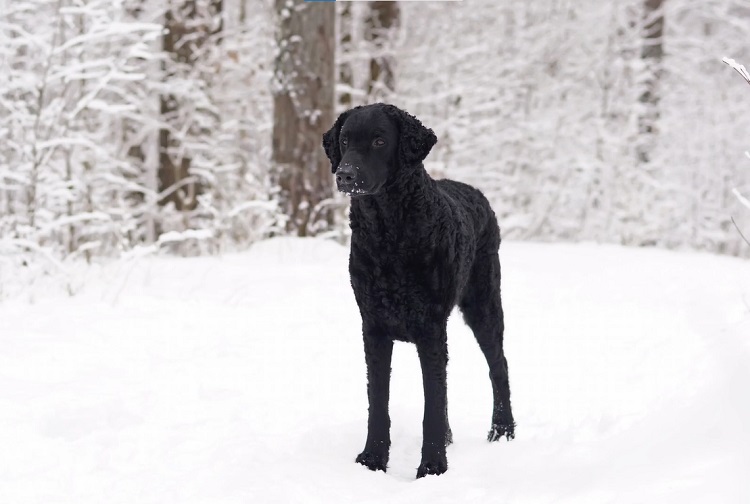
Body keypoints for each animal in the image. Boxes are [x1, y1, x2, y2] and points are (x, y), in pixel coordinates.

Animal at [324, 104, 516, 478]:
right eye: (344, 141)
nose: (345, 175)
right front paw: (372, 460)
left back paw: (502, 431)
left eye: (379, 141)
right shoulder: (374, 327)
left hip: (484, 304)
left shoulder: (430, 328)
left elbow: (433, 405)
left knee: (498, 367)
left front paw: (432, 467)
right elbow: (378, 402)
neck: (388, 234)